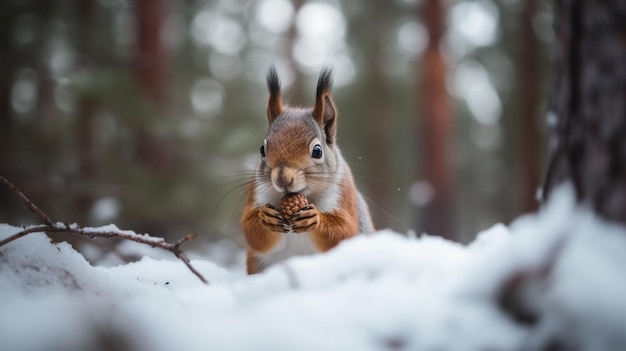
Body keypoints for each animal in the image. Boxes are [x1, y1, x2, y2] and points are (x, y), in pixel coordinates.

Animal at [241, 66, 372, 276]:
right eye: (262, 149)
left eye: (317, 151)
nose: (282, 178)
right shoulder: (257, 190)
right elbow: (251, 232)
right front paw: (265, 218)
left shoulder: (343, 193)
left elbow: (344, 232)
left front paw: (315, 218)